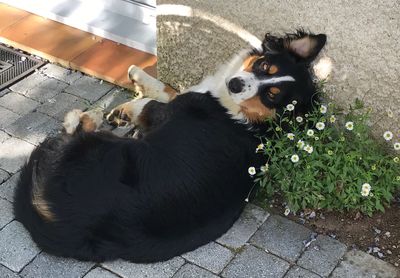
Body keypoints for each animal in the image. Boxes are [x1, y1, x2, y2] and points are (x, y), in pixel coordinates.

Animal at [13, 30, 324, 262]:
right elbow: (169, 88)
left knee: (75, 128)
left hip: (97, 147)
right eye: (263, 66)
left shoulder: (168, 111)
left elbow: (151, 102)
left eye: (271, 95)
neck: (249, 119)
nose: (235, 84)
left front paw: (127, 104)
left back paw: (88, 116)